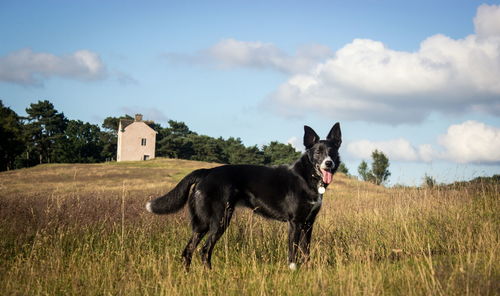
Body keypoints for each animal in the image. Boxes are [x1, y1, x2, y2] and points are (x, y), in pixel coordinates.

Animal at [145, 123, 340, 270]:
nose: (328, 163)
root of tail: (207, 172)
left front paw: (308, 270)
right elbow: (293, 251)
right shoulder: (295, 222)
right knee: (205, 250)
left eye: (332, 152)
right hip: (219, 220)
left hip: (202, 224)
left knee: (189, 251)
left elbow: (306, 251)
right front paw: (293, 271)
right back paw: (210, 275)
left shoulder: (308, 223)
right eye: (318, 152)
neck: (307, 176)